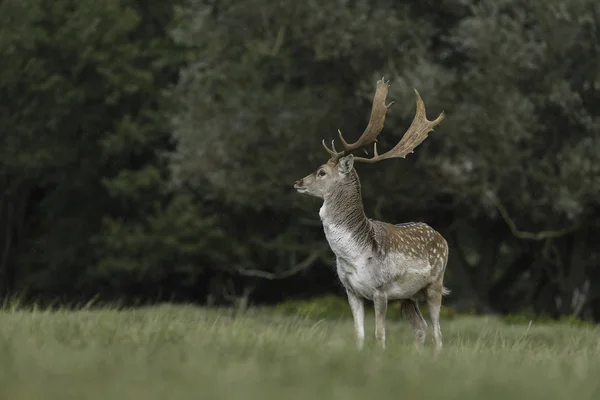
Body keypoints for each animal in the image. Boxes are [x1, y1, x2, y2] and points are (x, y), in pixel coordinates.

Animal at [292, 77, 448, 350]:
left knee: (438, 333)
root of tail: (442, 238)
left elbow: (379, 334)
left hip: (435, 283)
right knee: (421, 328)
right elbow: (359, 334)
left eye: (321, 172)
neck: (354, 255)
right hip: (408, 296)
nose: (298, 182)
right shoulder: (350, 290)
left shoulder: (380, 289)